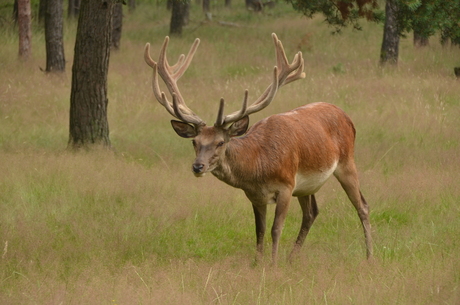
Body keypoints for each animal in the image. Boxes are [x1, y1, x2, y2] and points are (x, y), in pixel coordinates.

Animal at [145, 32, 374, 262]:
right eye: (194, 142)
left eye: (221, 142)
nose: (198, 166)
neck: (258, 166)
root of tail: (345, 115)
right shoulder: (255, 195)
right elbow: (260, 230)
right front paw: (258, 263)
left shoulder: (286, 186)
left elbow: (276, 229)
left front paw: (272, 264)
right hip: (306, 186)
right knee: (311, 213)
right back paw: (292, 258)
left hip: (346, 162)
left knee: (362, 205)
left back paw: (369, 256)